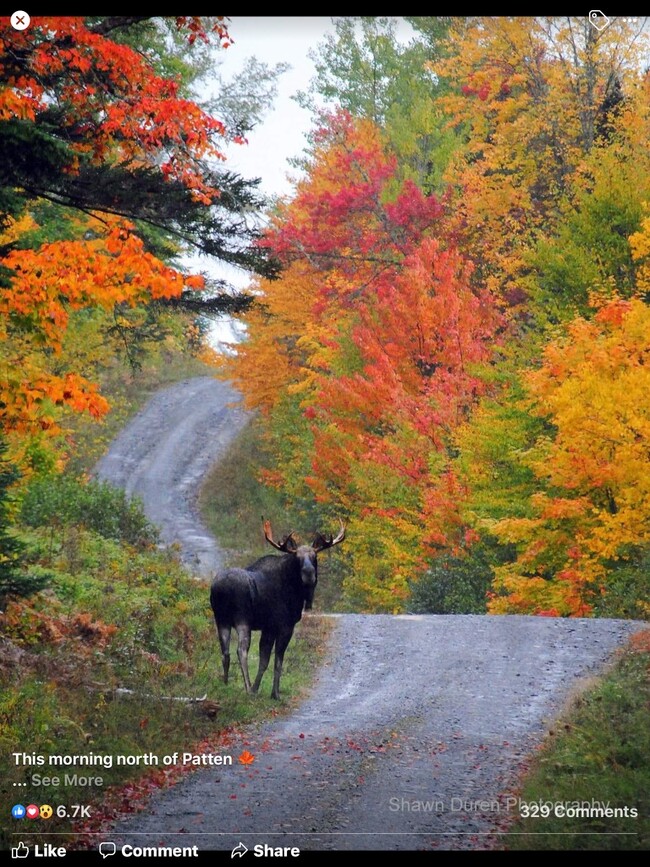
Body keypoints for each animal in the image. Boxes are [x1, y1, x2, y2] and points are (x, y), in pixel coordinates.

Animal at [211, 524, 344, 700]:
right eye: (297, 558)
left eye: (314, 556)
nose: (309, 573)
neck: (296, 592)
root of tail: (220, 589)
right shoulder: (284, 626)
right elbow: (277, 662)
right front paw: (274, 693)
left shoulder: (269, 628)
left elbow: (264, 660)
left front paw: (257, 688)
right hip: (242, 619)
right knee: (241, 650)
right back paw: (247, 688)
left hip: (221, 619)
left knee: (225, 652)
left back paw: (226, 684)